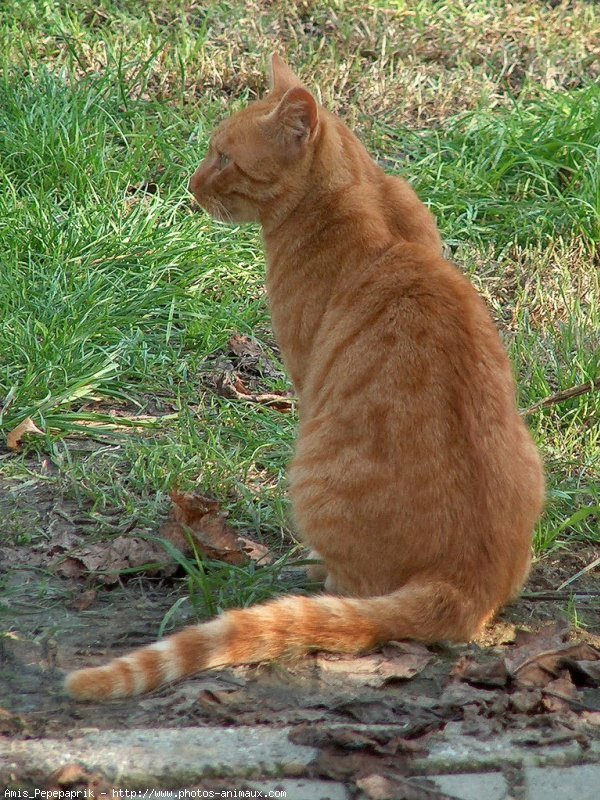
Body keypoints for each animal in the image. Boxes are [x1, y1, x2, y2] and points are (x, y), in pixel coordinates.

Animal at [64, 54, 544, 700]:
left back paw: (314, 568)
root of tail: (465, 586)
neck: (358, 190)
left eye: (224, 157)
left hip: (313, 471)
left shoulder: (303, 372)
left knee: (352, 591)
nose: (191, 185)